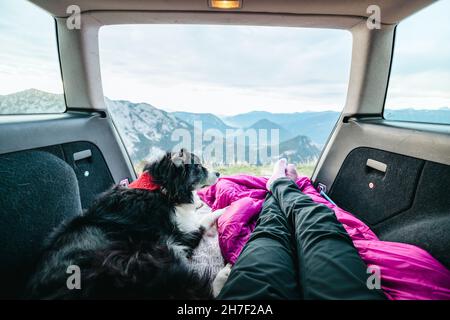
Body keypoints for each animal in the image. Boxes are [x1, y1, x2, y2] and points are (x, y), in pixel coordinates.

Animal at [27, 149, 230, 298]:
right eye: (199, 168)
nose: (218, 172)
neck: (161, 189)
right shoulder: (181, 235)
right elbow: (203, 220)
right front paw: (227, 208)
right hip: (143, 259)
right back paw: (224, 275)